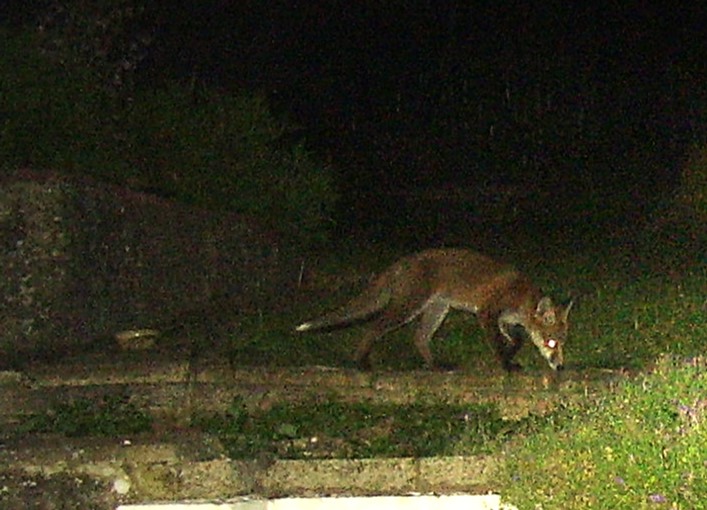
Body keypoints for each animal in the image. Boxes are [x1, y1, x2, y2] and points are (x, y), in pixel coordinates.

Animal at [296, 250, 572, 372]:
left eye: (562, 343)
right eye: (551, 342)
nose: (560, 366)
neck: (521, 298)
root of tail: (400, 263)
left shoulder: (505, 320)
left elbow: (518, 339)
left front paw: (512, 355)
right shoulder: (487, 313)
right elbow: (498, 344)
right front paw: (506, 364)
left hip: (437, 310)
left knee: (419, 338)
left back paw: (435, 365)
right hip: (408, 307)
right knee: (374, 327)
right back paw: (361, 362)